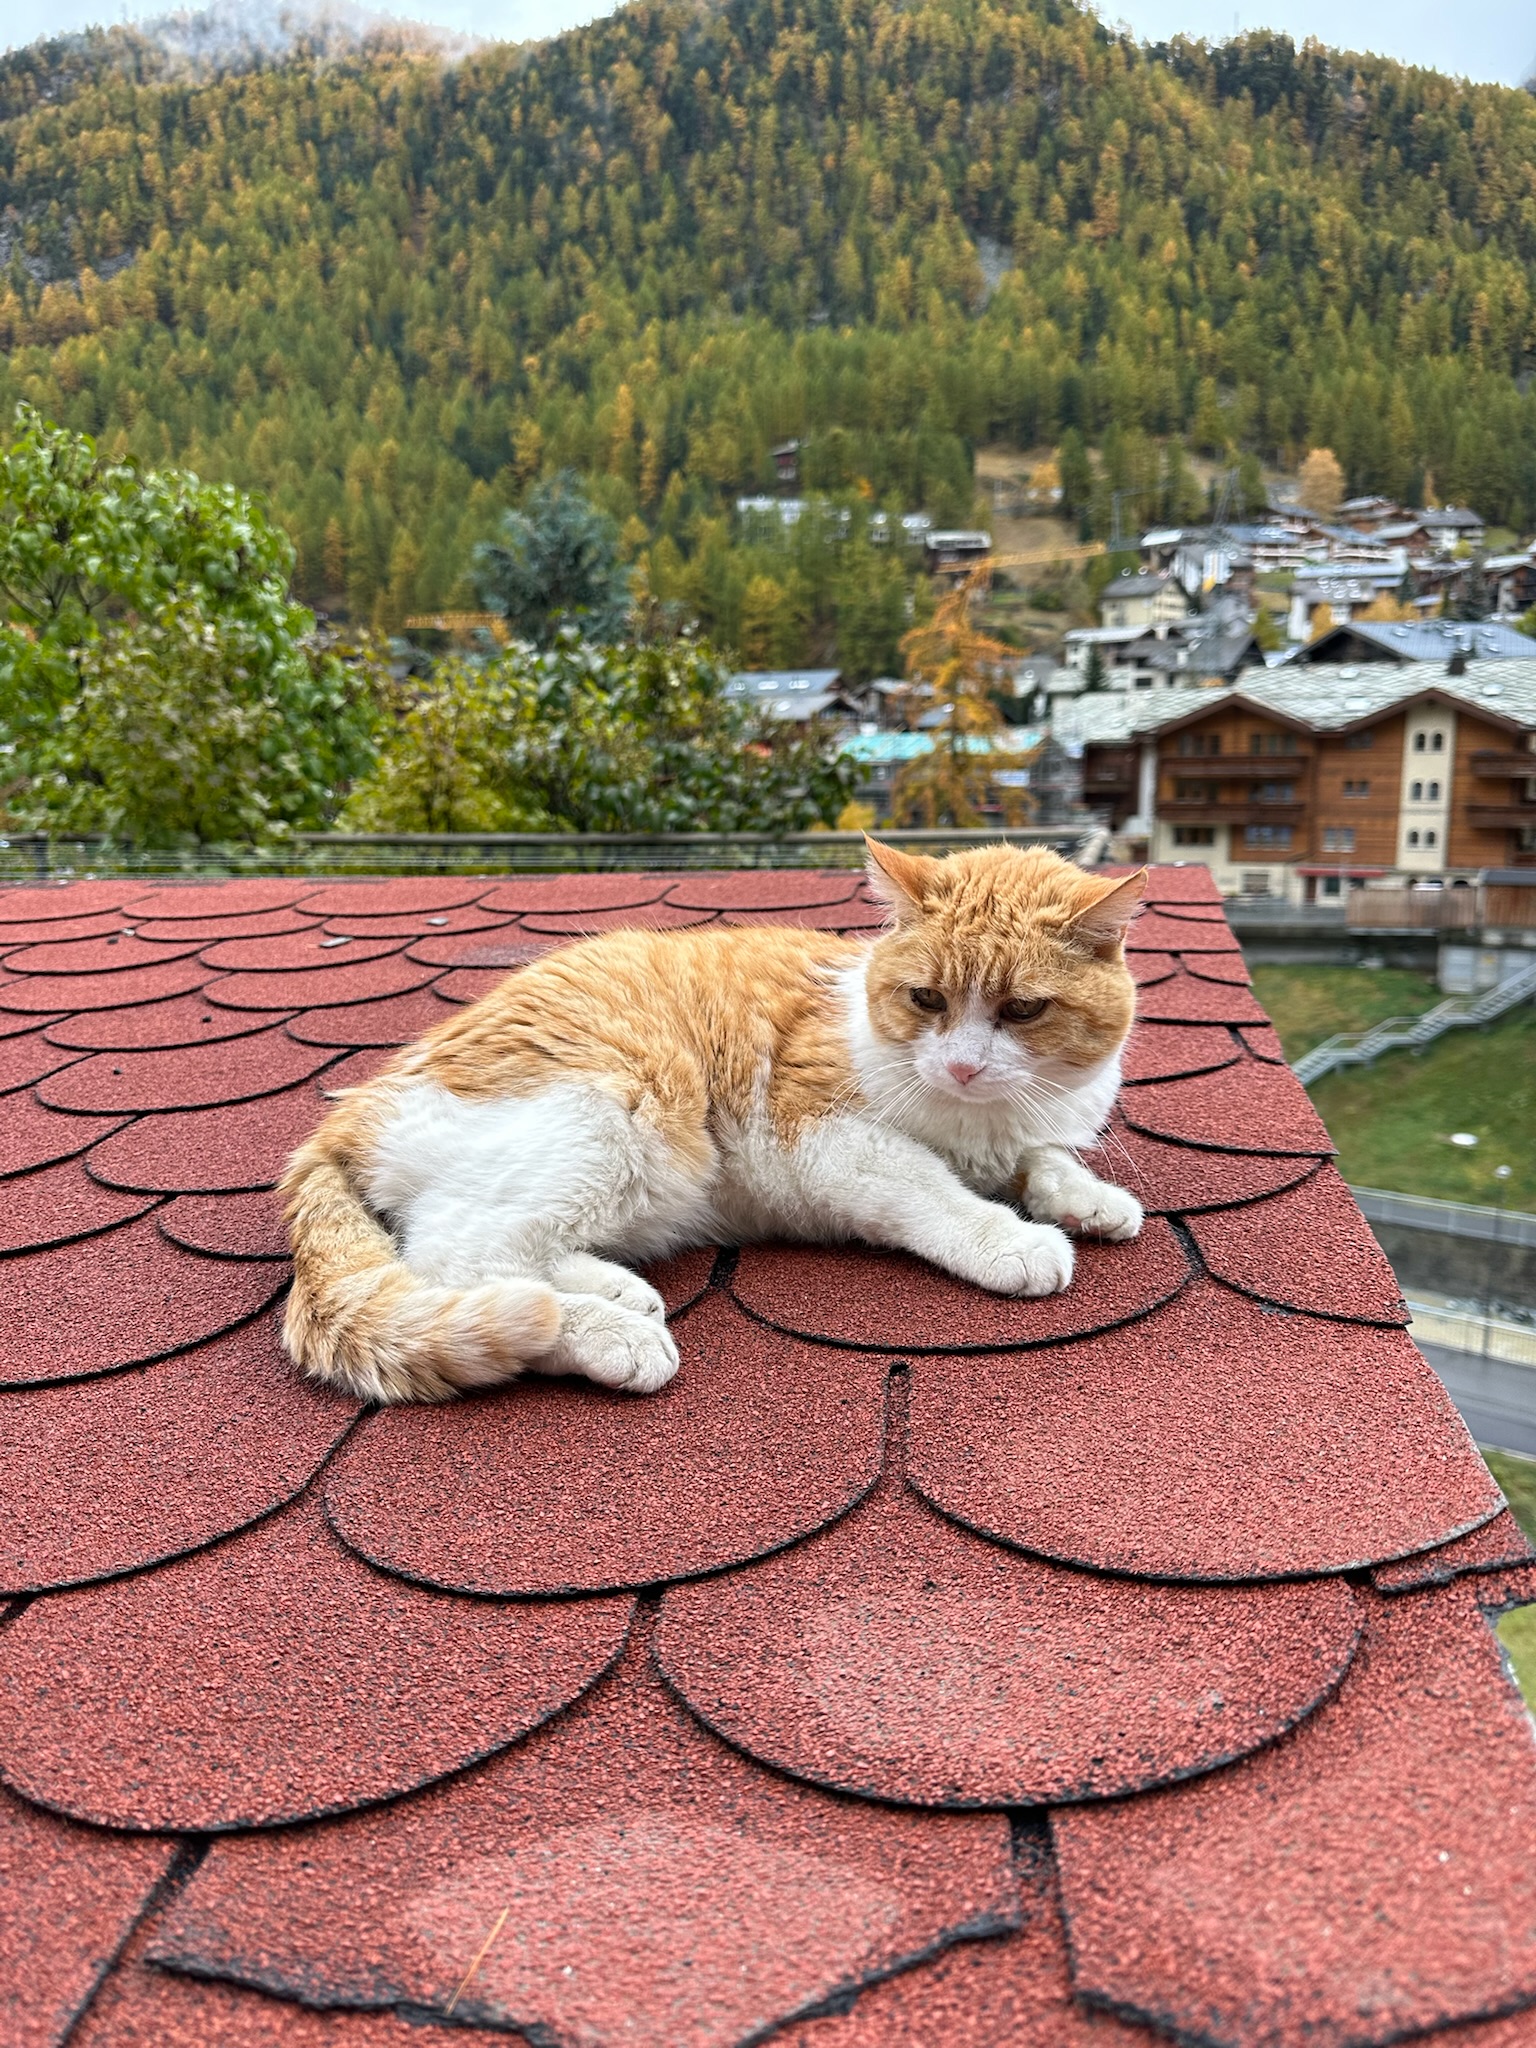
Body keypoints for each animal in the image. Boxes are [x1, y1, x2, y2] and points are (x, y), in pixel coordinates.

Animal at [282, 839, 1146, 1400]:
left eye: (1023, 1010)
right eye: (926, 998)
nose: (963, 1066)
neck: (979, 1120)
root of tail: (347, 1112)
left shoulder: (1024, 1130)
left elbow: (1045, 1157)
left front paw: (1090, 1198)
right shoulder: (829, 1136)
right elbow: (932, 1191)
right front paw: (1011, 1237)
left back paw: (618, 1289)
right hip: (622, 1118)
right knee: (459, 1257)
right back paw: (609, 1333)